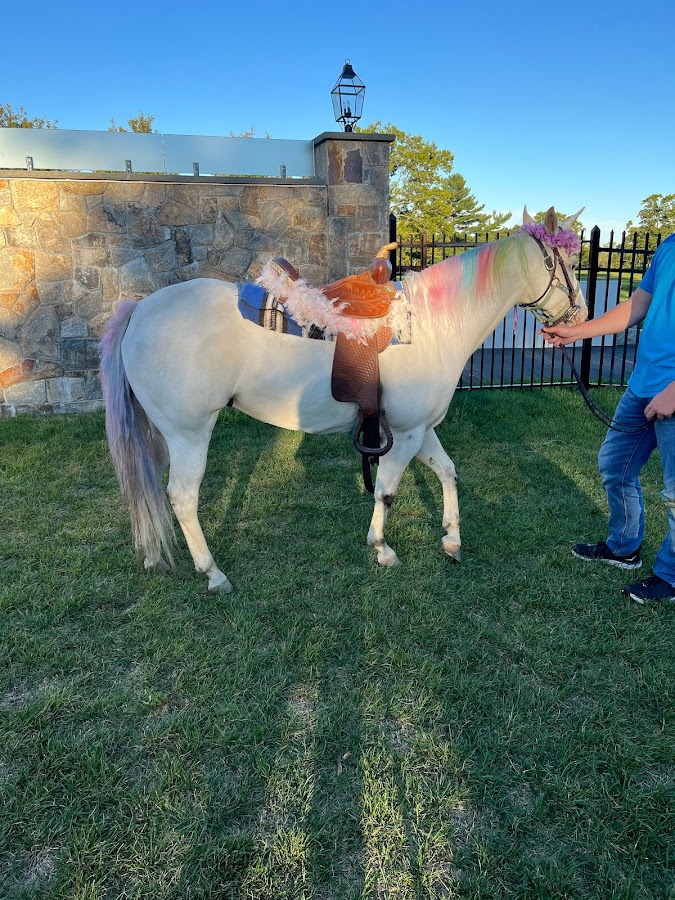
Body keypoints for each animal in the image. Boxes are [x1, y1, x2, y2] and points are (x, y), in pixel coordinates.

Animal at [100, 206, 587, 593]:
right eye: (567, 261)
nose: (580, 315)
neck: (429, 326)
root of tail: (139, 310)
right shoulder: (405, 434)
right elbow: (387, 492)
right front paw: (382, 548)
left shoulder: (421, 430)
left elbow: (448, 473)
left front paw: (451, 539)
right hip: (189, 433)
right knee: (182, 497)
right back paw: (212, 572)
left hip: (160, 433)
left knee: (148, 487)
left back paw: (154, 556)